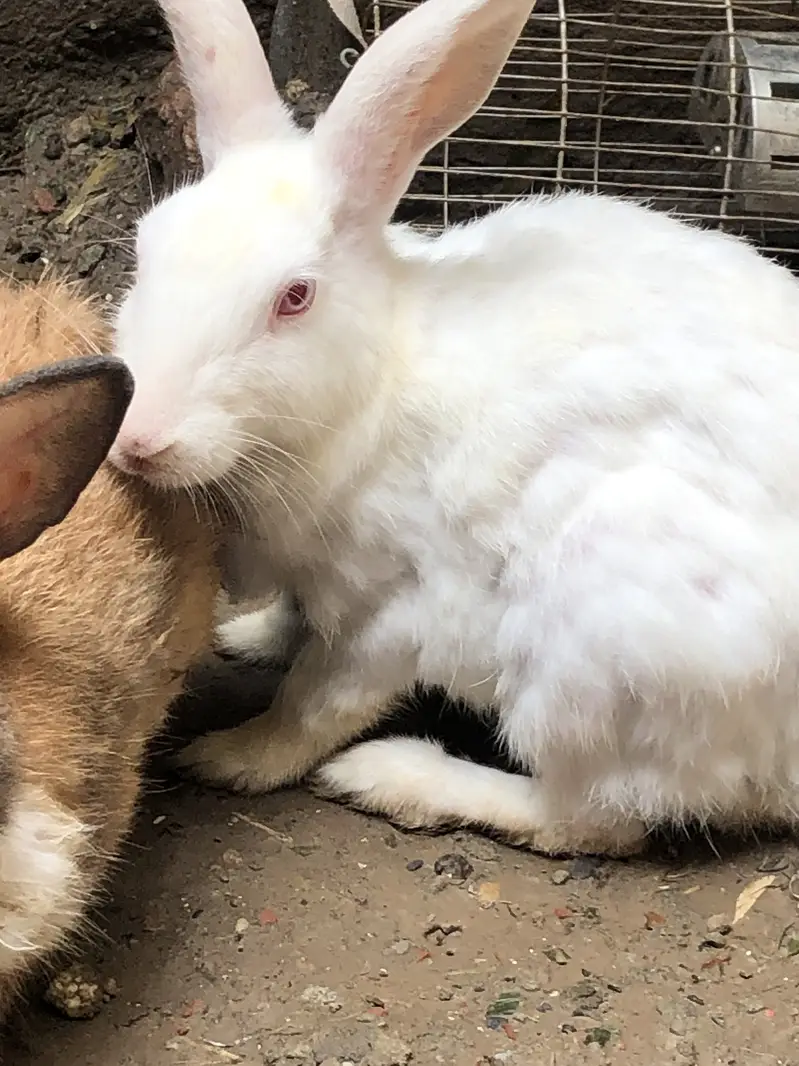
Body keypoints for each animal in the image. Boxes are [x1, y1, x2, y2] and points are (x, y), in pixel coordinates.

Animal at [107, 0, 799, 858]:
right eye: (145, 253)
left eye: (293, 297)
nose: (139, 438)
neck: (373, 382)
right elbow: (290, 624)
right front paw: (249, 636)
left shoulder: (391, 614)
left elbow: (315, 701)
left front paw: (232, 756)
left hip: (599, 657)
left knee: (591, 819)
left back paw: (394, 777)